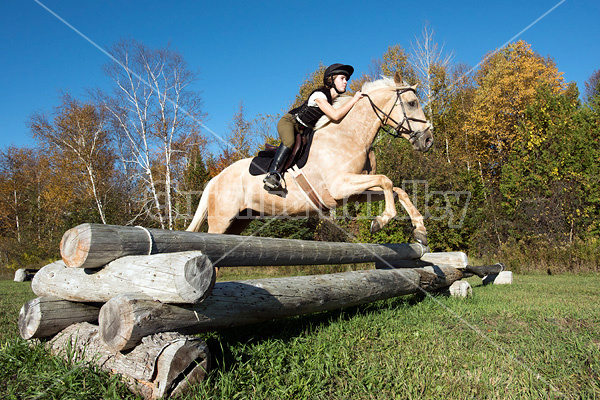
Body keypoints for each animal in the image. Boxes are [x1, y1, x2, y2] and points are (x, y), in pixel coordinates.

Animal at [185, 72, 434, 244]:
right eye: (412, 103)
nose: (428, 140)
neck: (350, 135)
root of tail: (215, 179)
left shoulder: (353, 192)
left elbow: (397, 189)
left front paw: (420, 230)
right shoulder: (340, 186)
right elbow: (386, 180)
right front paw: (380, 221)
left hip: (240, 220)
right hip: (221, 220)